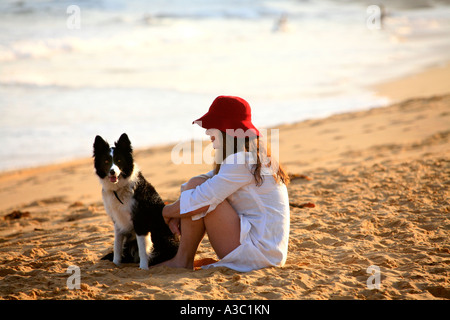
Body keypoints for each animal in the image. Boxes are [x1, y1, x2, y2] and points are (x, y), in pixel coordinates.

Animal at [93, 133, 179, 270]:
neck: (118, 189)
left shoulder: (140, 220)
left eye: (119, 160)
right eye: (106, 161)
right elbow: (117, 246)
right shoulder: (117, 221)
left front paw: (143, 268)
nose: (112, 171)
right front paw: (115, 264)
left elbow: (143, 249)